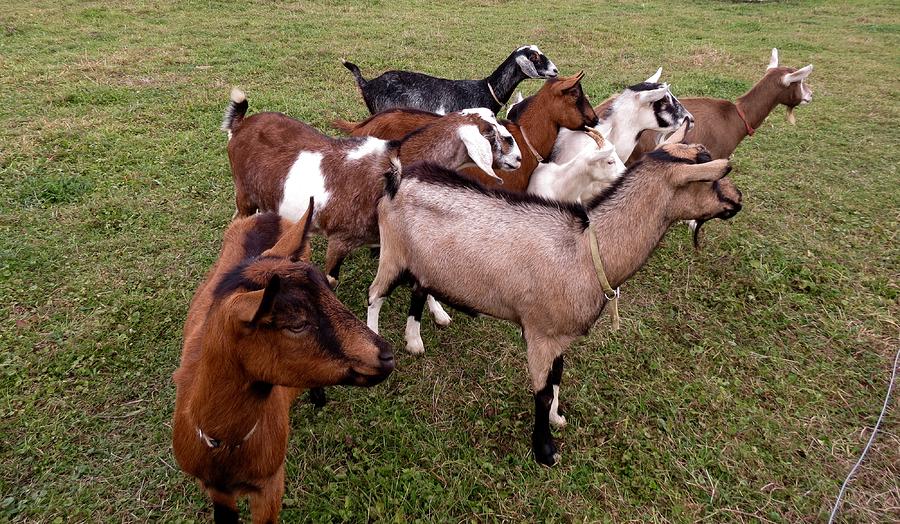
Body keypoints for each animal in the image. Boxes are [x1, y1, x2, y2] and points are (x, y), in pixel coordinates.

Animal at [172, 202, 394, 524]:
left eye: (331, 294)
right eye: (296, 324)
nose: (386, 355)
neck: (225, 444)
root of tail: (268, 214)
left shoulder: (271, 484)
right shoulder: (215, 490)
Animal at [362, 144, 740, 466]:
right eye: (707, 175)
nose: (738, 200)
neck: (587, 249)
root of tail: (398, 179)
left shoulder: (560, 335)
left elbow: (558, 377)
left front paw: (558, 417)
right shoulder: (540, 334)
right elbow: (542, 393)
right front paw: (545, 451)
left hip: (424, 261)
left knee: (419, 288)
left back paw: (418, 336)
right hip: (393, 253)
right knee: (375, 294)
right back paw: (376, 343)